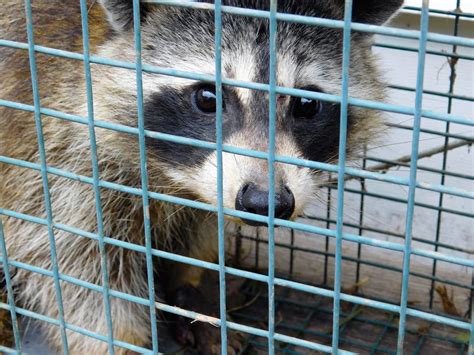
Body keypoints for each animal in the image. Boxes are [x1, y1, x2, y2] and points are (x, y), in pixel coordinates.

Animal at [0, 0, 402, 354]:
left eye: (307, 104)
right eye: (207, 98)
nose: (265, 203)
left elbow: (199, 230)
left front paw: (191, 290)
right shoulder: (55, 150)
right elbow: (73, 263)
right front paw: (119, 341)